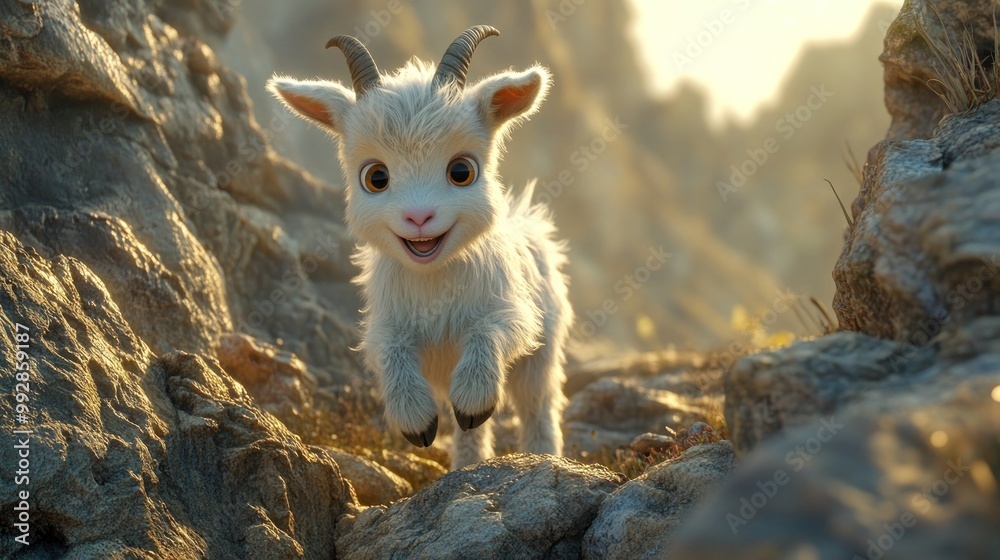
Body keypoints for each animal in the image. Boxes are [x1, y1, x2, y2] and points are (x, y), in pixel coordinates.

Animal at [268, 26, 572, 469]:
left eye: (461, 171)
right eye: (376, 177)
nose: (419, 218)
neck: (433, 276)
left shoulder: (512, 312)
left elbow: (488, 331)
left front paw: (475, 400)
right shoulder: (388, 325)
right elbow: (391, 353)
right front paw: (417, 424)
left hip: (543, 352)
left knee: (537, 406)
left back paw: (542, 457)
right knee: (469, 429)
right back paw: (467, 465)